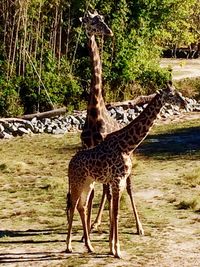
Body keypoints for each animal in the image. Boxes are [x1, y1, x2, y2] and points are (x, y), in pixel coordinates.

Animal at [66, 82, 187, 260]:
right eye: (172, 95)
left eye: (178, 92)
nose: (184, 103)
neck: (127, 146)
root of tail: (69, 164)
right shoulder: (117, 180)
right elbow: (115, 212)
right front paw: (117, 250)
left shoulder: (120, 180)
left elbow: (115, 212)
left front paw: (112, 248)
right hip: (77, 183)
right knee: (73, 205)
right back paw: (68, 246)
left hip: (88, 183)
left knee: (82, 206)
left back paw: (90, 246)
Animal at [79, 10, 144, 237]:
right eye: (92, 22)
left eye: (103, 20)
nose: (109, 31)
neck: (94, 112)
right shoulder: (87, 147)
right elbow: (93, 191)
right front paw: (87, 231)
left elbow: (106, 191)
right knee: (106, 188)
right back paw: (96, 223)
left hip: (128, 160)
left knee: (129, 188)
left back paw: (138, 227)